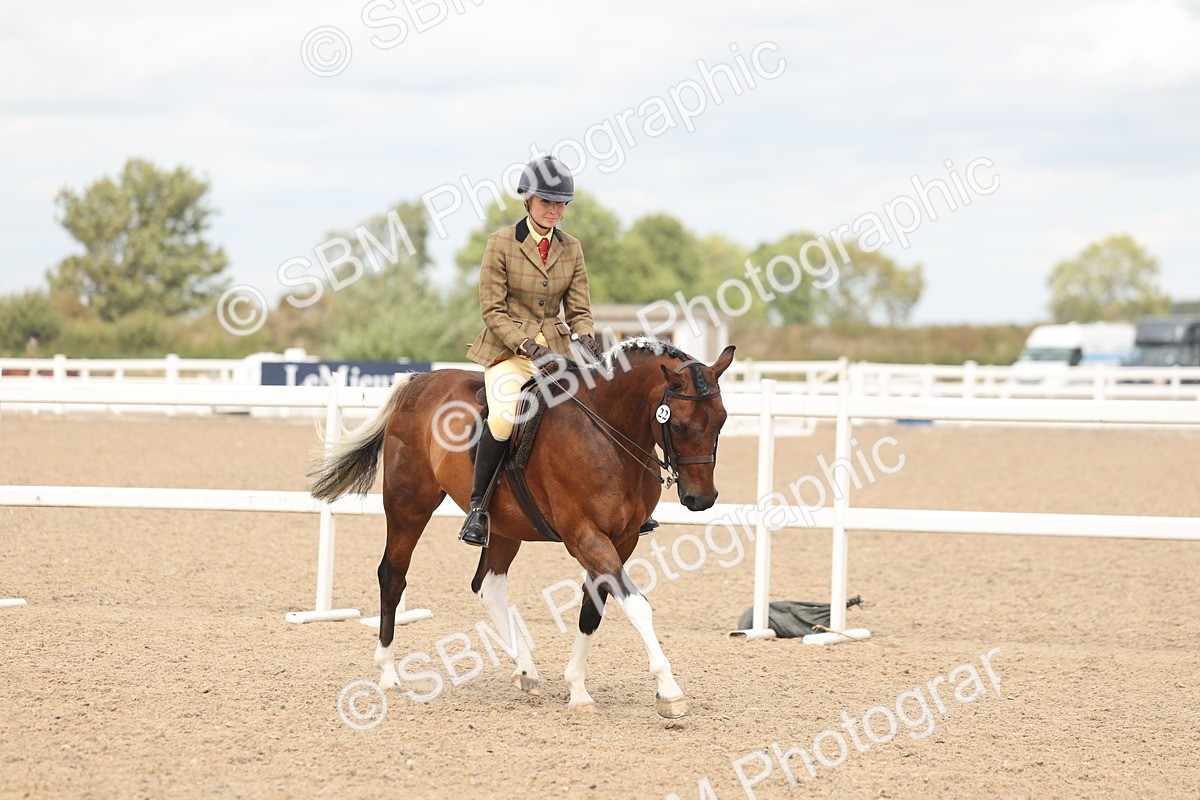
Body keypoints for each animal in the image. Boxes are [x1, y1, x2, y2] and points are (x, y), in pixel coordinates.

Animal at [309, 338, 735, 718]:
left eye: (722, 420)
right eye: (678, 426)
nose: (702, 499)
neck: (606, 432)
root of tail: (418, 382)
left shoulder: (623, 539)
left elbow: (592, 610)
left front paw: (577, 689)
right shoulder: (585, 536)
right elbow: (637, 605)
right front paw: (670, 692)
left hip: (503, 527)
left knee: (487, 586)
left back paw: (526, 668)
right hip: (408, 504)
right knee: (393, 576)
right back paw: (388, 673)